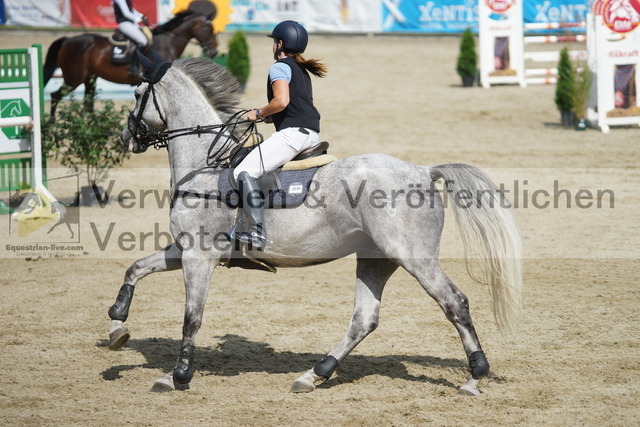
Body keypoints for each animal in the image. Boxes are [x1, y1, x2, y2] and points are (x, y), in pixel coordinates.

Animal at [43, 10, 218, 120]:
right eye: (209, 28)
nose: (214, 52)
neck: (167, 43)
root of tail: (67, 40)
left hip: (89, 78)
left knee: (88, 103)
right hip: (74, 78)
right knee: (55, 95)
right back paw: (52, 121)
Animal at [107, 55, 524, 396]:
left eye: (137, 93)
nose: (127, 136)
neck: (205, 165)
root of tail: (423, 171)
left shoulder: (198, 256)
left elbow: (191, 318)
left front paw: (177, 375)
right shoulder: (184, 249)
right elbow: (135, 268)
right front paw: (117, 328)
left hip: (413, 257)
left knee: (454, 302)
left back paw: (475, 376)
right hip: (376, 259)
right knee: (364, 319)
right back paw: (316, 373)